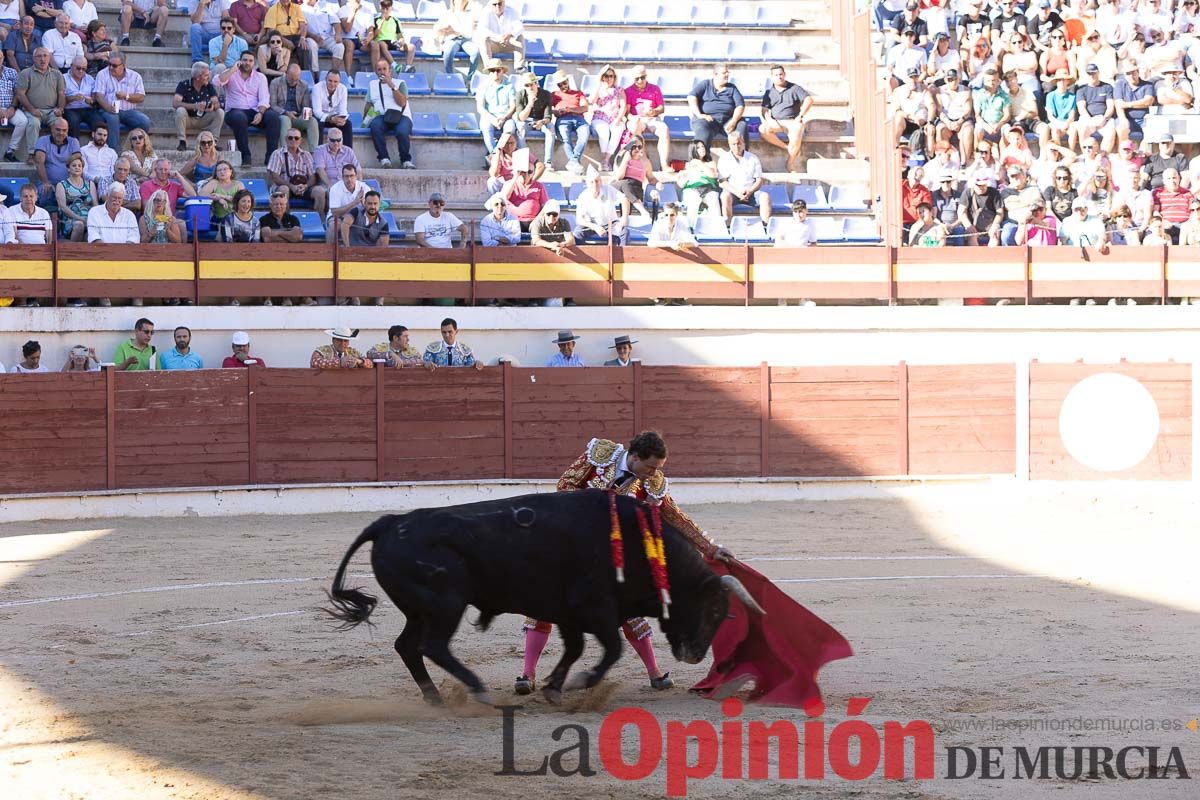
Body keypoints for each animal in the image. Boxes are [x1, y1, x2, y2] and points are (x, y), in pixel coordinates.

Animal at [324, 491, 763, 705]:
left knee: (407, 646)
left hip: (419, 609)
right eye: (714, 610)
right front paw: (581, 681)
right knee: (432, 646)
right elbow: (612, 647)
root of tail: (390, 522)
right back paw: (477, 689)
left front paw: (553, 686)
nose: (694, 655)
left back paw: (434, 698)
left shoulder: (569, 613)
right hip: (446, 604)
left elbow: (575, 648)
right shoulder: (595, 607)